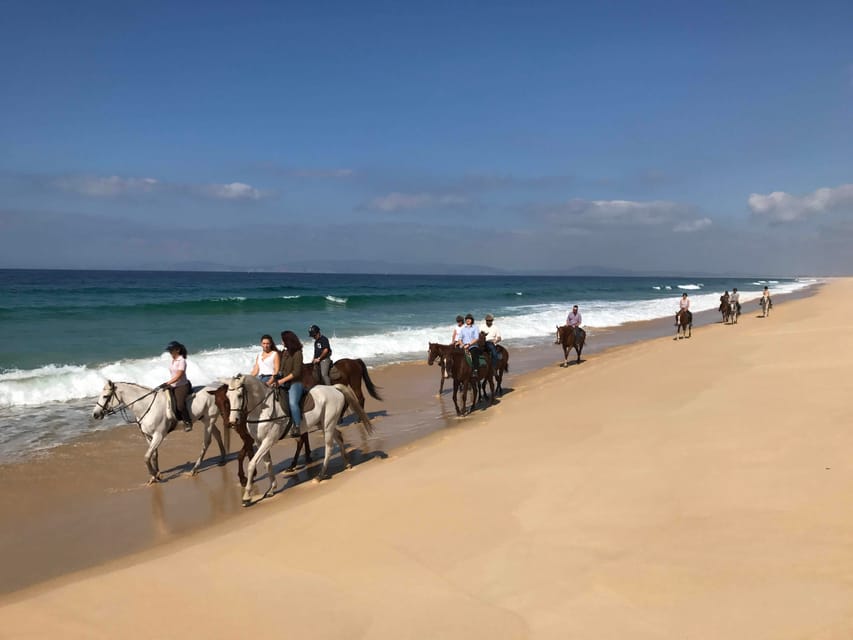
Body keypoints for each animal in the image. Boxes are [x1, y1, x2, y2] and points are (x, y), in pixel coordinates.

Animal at [225, 376, 374, 504]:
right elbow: (268, 464)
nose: (233, 421)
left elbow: (252, 464)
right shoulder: (259, 442)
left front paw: (246, 497)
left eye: (239, 395)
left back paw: (320, 475)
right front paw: (272, 489)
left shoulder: (269, 440)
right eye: (227, 396)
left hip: (328, 424)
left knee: (329, 447)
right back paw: (347, 464)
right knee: (339, 437)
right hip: (322, 424)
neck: (262, 409)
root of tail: (334, 388)